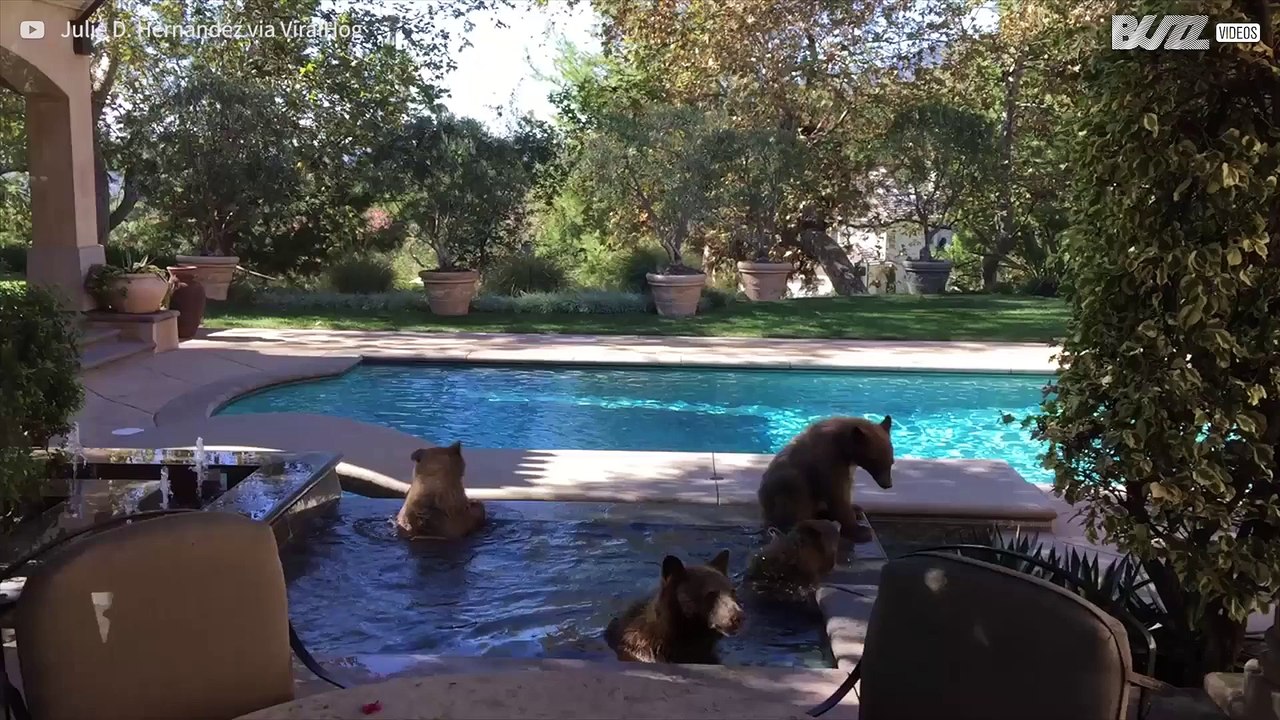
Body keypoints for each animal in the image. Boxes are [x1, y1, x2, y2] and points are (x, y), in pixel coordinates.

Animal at [756, 415, 895, 544]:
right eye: (875, 460)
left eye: (891, 462)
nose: (887, 484)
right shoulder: (828, 461)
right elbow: (837, 495)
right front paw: (860, 531)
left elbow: (846, 490)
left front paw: (854, 509)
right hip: (788, 487)